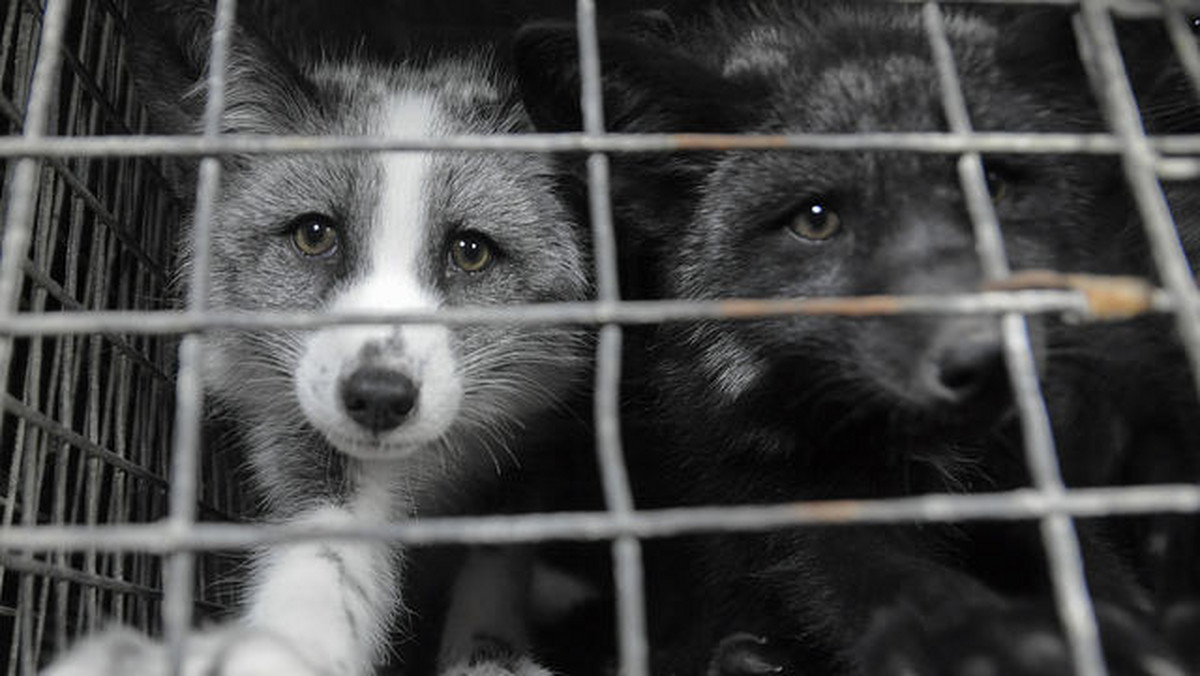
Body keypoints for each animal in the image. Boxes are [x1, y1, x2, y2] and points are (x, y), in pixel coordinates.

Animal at [513, 2, 1190, 672]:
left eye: (991, 186)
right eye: (815, 220)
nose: (987, 358)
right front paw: (984, 640)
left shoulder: (1025, 470)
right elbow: (888, 585)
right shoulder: (773, 494)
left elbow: (1091, 570)